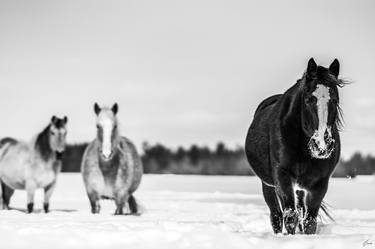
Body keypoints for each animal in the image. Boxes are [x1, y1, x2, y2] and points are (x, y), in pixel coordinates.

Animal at [247, 58, 346, 235]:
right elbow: (290, 216)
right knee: (276, 216)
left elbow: (309, 221)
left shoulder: (320, 183)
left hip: (300, 189)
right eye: (308, 100)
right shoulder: (282, 177)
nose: (322, 145)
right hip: (268, 185)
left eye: (335, 100)